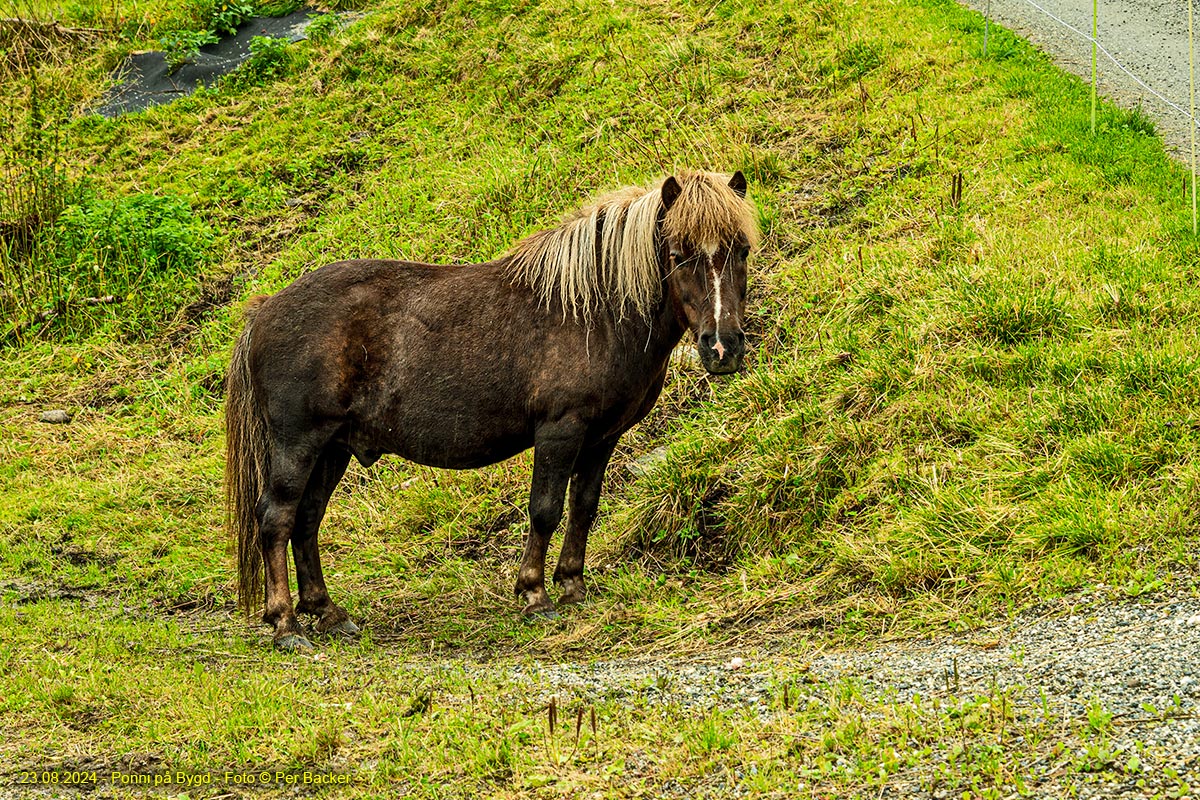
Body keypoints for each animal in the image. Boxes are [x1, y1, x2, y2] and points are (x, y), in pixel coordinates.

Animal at [225, 170, 758, 652]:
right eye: (679, 255)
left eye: (742, 251)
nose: (722, 348)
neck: (596, 311)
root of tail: (266, 308)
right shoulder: (560, 431)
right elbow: (545, 509)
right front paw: (535, 594)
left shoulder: (603, 438)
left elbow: (584, 508)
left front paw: (573, 586)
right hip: (299, 443)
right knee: (276, 517)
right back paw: (286, 625)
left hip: (332, 448)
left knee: (307, 520)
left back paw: (328, 613)